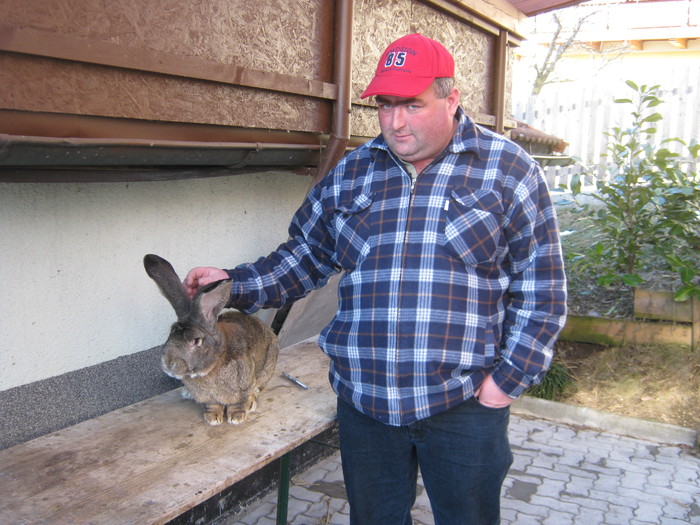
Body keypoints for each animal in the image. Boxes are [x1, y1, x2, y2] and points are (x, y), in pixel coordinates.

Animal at [143, 254, 278, 426]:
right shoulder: (208, 397)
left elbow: (238, 403)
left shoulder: (243, 387)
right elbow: (212, 404)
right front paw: (213, 417)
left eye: (196, 341)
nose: (167, 363)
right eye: (170, 334)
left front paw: (237, 417)